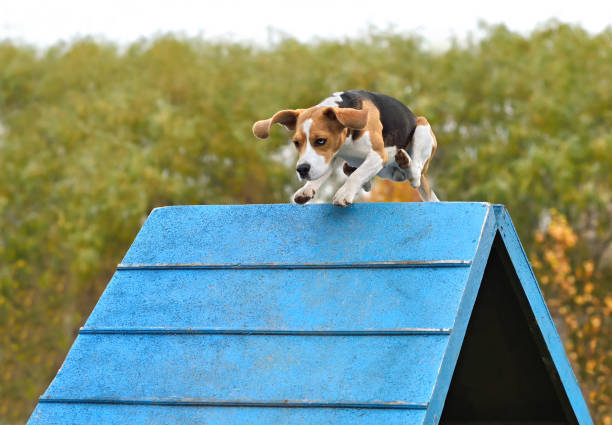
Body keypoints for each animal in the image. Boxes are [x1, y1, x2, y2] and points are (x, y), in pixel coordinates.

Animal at [253, 90, 440, 206]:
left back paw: (406, 163)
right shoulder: (330, 156)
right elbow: (327, 173)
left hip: (422, 127)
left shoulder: (378, 155)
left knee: (415, 173)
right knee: (352, 171)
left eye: (321, 141)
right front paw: (307, 189)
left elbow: (358, 175)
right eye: (296, 143)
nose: (302, 169)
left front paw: (344, 194)